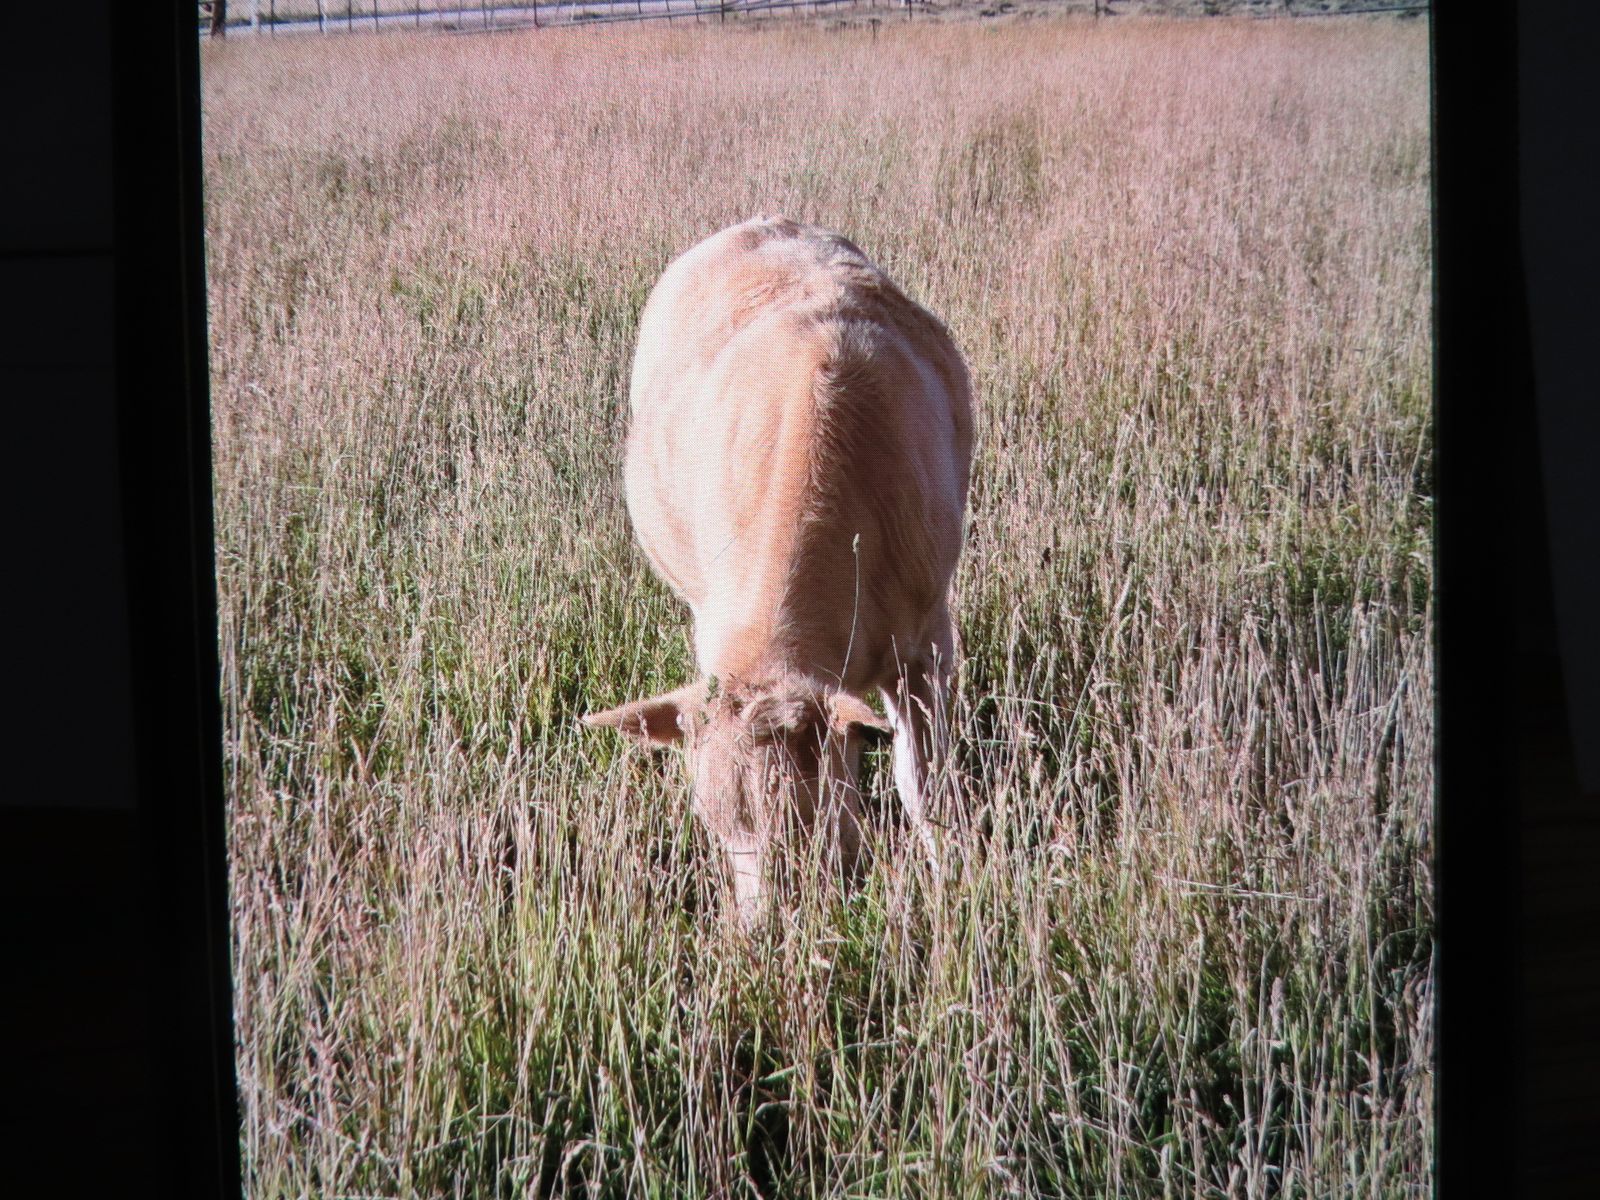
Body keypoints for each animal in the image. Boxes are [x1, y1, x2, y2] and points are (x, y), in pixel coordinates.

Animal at [583, 216, 974, 925]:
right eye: (711, 824)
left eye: (805, 815)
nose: (760, 931)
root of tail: (760, 223)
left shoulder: (927, 640)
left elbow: (922, 785)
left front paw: (952, 876)